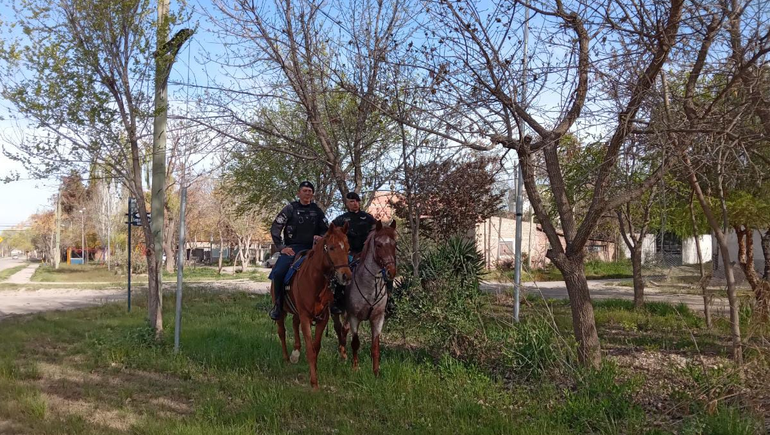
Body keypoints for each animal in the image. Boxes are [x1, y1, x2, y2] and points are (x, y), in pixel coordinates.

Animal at [271, 222, 352, 389]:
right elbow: (310, 349)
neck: (315, 282)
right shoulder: (306, 318)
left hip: (297, 312)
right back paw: (287, 358)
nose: (346, 276)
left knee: (294, 324)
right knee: (282, 332)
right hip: (282, 312)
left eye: (348, 248)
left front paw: (314, 376)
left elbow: (316, 348)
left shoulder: (322, 319)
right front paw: (314, 383)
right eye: (332, 247)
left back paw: (295, 353)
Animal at [332, 220, 397, 376]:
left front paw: (376, 372)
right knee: (339, 329)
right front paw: (355, 368)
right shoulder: (354, 317)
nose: (391, 271)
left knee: (344, 330)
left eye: (395, 244)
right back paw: (342, 353)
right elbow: (355, 343)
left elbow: (375, 347)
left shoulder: (378, 319)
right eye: (379, 245)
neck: (370, 288)